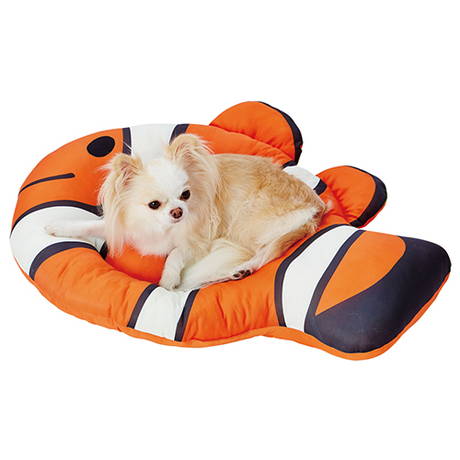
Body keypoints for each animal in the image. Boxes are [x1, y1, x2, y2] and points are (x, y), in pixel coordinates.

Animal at [46, 134, 326, 290]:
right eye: (154, 204)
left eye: (186, 195)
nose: (178, 211)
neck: (160, 228)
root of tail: (316, 206)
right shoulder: (127, 226)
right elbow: (90, 225)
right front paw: (58, 227)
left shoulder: (201, 240)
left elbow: (176, 253)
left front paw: (168, 279)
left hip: (246, 224)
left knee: (263, 252)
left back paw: (239, 270)